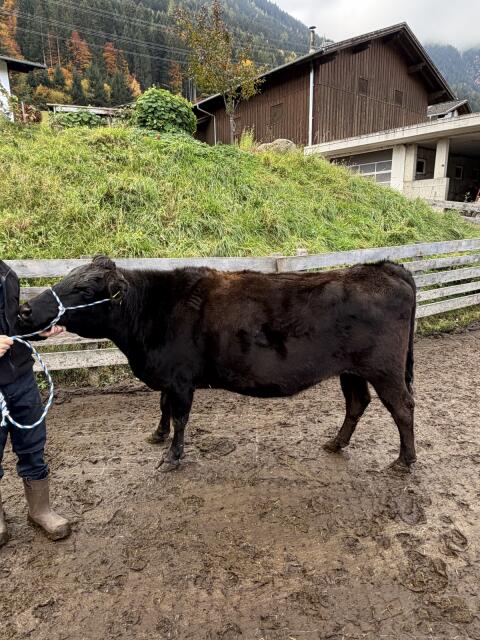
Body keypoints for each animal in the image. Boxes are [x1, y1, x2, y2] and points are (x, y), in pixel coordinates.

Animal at [19, 256, 417, 472]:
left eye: (85, 290)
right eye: (67, 278)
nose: (24, 310)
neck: (151, 311)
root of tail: (381, 268)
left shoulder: (180, 380)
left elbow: (180, 416)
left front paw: (172, 456)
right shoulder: (169, 377)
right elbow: (163, 407)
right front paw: (158, 434)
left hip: (385, 370)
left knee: (403, 408)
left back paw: (405, 460)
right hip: (351, 370)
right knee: (357, 403)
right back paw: (336, 443)